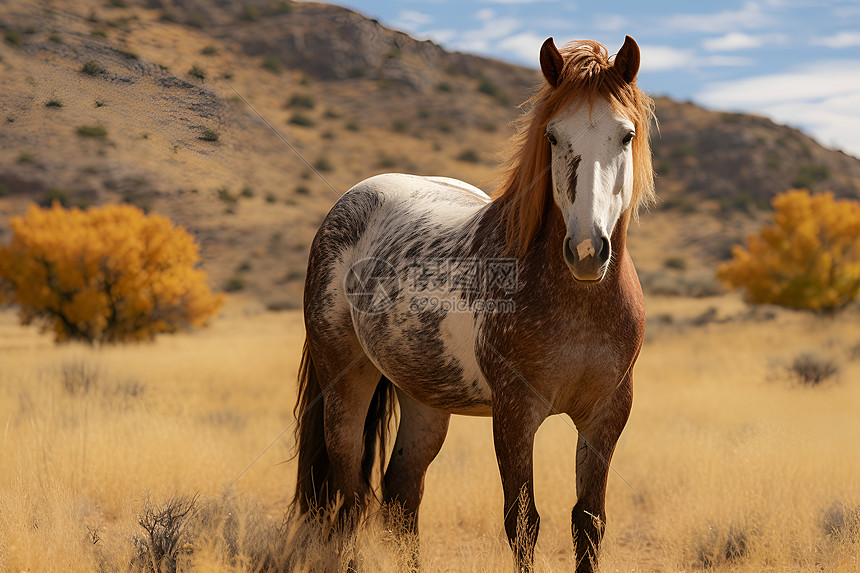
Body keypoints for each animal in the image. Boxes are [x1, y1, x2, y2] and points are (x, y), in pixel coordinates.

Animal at [292, 35, 656, 572]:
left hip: (424, 399)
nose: (587, 250)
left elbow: (588, 524)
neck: (580, 307)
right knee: (350, 495)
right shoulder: (514, 414)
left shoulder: (607, 413)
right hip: (345, 381)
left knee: (401, 496)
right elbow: (523, 524)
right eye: (553, 137)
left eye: (626, 136)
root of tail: (351, 201)